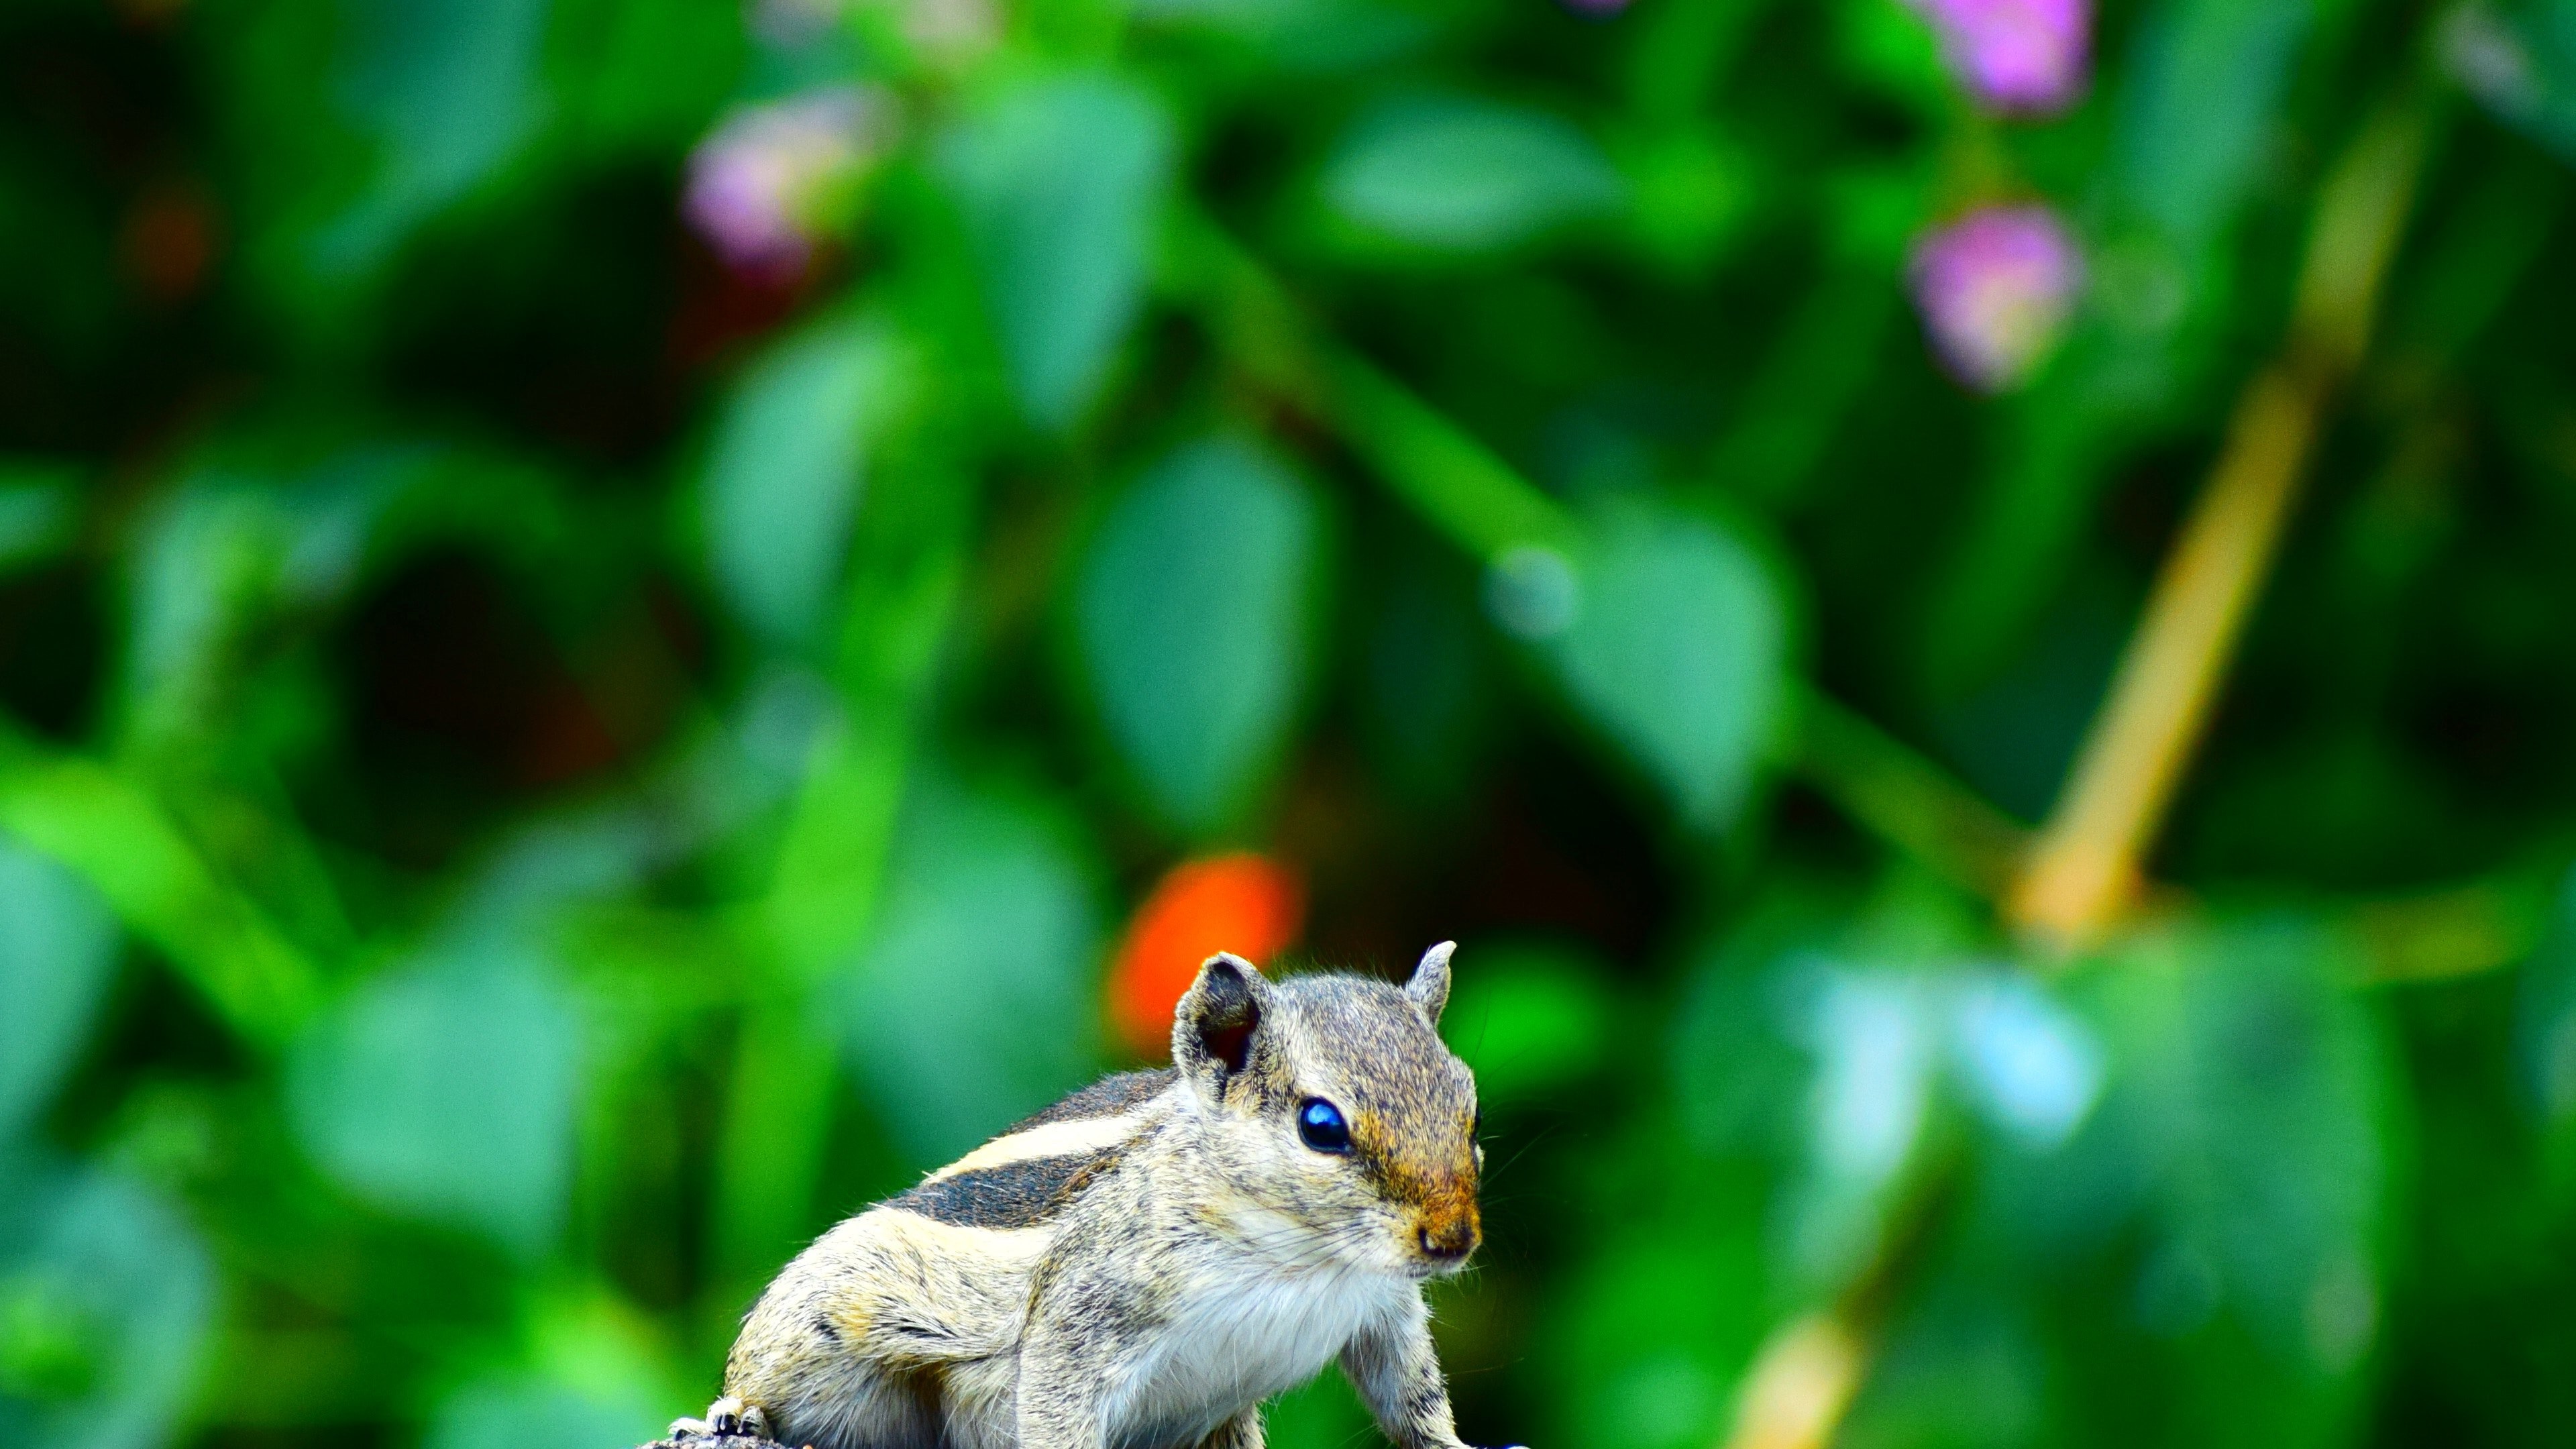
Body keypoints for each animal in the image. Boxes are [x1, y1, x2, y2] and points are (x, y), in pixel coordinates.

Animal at [670, 942, 1507, 1449]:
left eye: (1468, 1105)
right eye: (1321, 1127)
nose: (1454, 1240)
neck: (1305, 1257)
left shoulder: (1385, 1315)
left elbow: (1411, 1399)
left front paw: (1455, 1443)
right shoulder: (1086, 1314)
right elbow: (1056, 1403)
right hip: (825, 1328)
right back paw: (733, 1413)